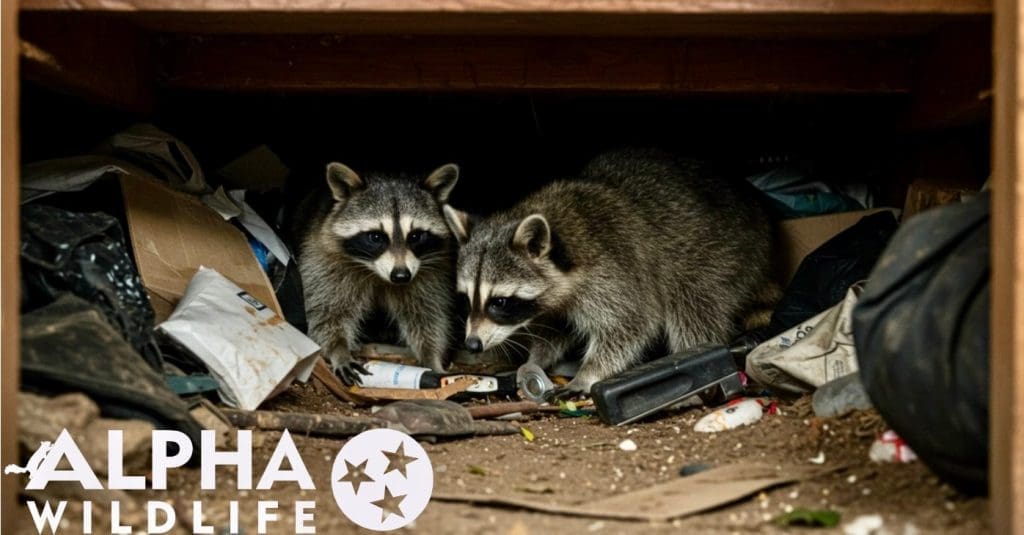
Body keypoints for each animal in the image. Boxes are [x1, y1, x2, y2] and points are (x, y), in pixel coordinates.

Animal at [296, 162, 459, 382]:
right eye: (376, 237)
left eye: (415, 236)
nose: (401, 276)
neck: (377, 274)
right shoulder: (326, 261)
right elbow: (327, 313)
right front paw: (339, 349)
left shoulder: (429, 272)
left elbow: (427, 315)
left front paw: (431, 357)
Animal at [444, 149, 774, 395]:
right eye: (465, 299)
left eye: (499, 302)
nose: (472, 344)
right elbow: (555, 327)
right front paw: (536, 359)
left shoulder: (615, 271)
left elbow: (631, 323)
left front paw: (588, 373)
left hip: (716, 254)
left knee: (693, 304)